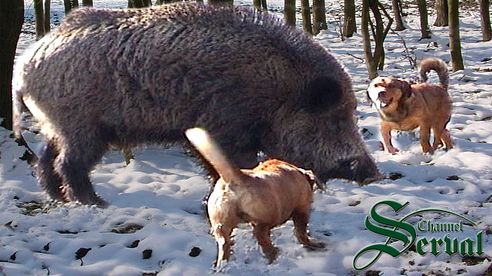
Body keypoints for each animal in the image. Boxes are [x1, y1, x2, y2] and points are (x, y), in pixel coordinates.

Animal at [184, 128, 322, 268]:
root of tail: (236, 179)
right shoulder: (302, 210)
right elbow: (301, 233)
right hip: (265, 218)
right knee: (263, 238)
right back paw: (274, 258)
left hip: (221, 225)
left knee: (224, 245)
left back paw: (222, 266)